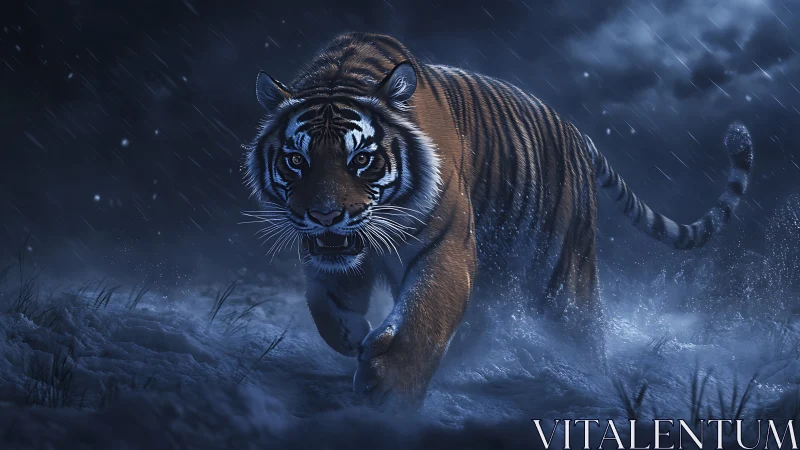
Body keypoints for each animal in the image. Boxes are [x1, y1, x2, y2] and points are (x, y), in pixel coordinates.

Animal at [243, 32, 753, 408]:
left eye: (362, 159)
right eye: (296, 160)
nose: (325, 215)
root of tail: (577, 132)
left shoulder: (447, 247)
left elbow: (425, 314)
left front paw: (389, 389)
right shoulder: (331, 255)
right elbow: (323, 303)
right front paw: (354, 337)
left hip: (564, 277)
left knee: (587, 336)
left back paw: (599, 387)